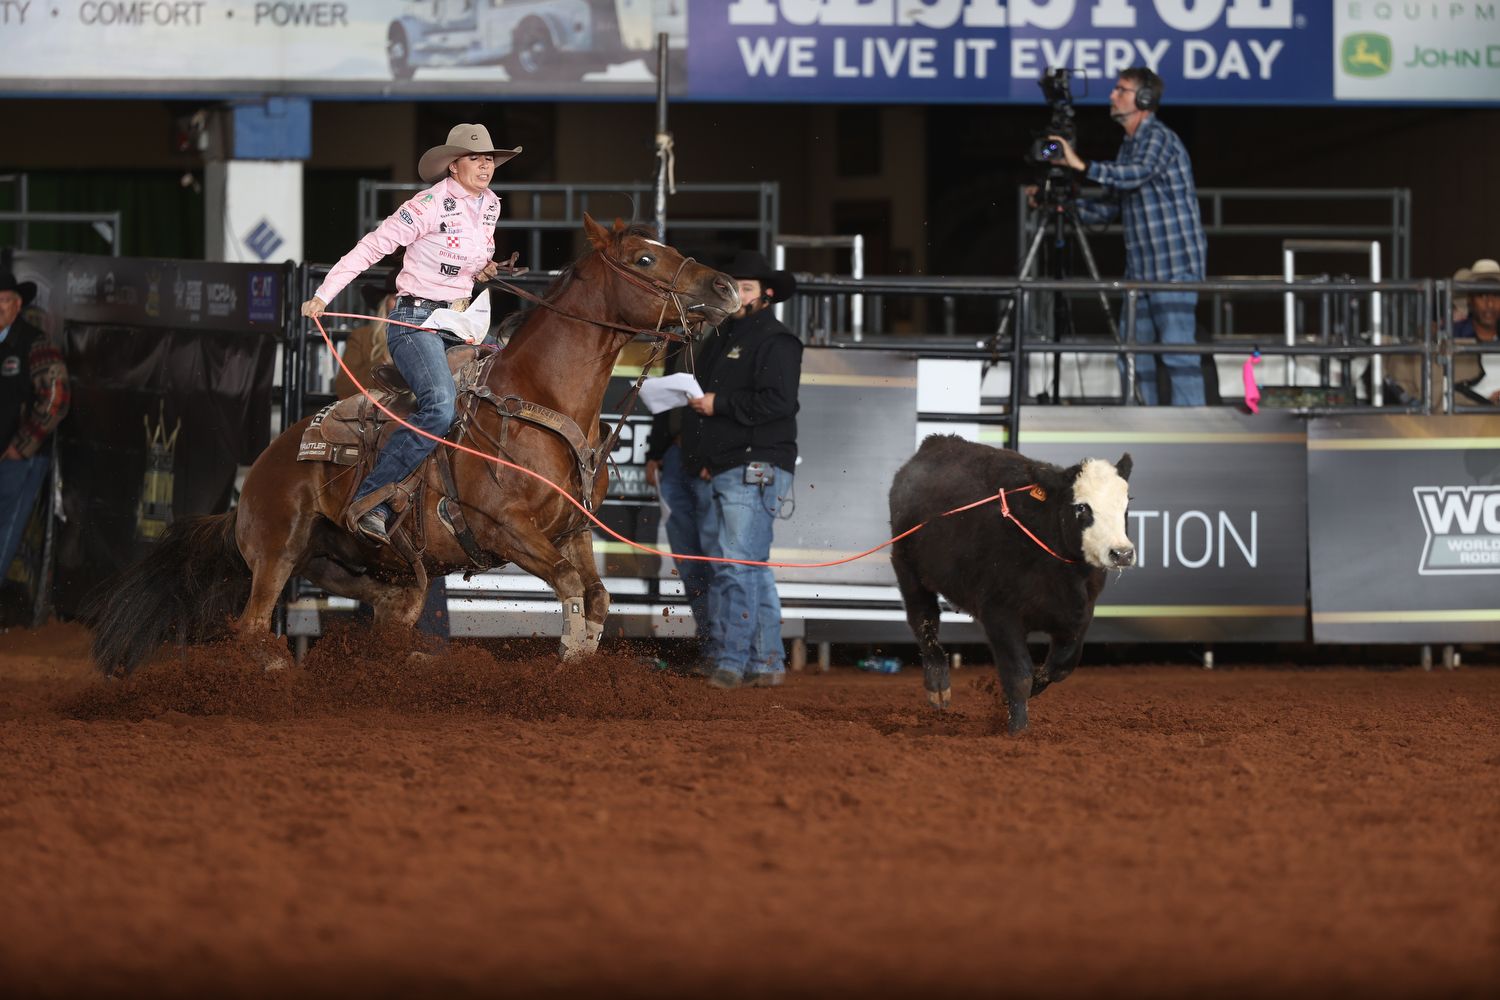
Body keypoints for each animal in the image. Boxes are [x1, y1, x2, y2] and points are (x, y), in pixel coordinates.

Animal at [87, 217, 738, 671]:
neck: (536, 399)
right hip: (279, 550)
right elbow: (573, 588)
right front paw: (566, 662)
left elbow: (598, 596)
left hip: (344, 559)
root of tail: (260, 473)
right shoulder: (507, 529)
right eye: (645, 257)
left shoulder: (572, 531)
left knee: (386, 610)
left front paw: (576, 668)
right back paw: (276, 672)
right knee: (250, 627)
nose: (728, 285)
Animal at [888, 437, 1134, 734]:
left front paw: (1014, 698)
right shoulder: (1000, 616)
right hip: (907, 566)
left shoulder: (1080, 615)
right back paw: (937, 684)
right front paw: (1017, 729)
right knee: (923, 619)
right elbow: (1019, 675)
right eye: (1082, 507)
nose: (1121, 553)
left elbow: (1061, 666)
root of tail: (936, 441)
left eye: (1126, 505)